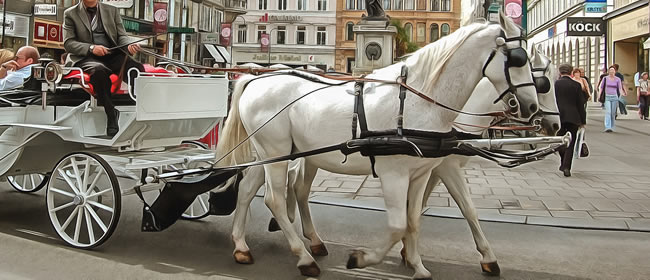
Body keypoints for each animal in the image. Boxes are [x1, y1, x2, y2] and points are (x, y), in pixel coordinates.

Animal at [218, 14, 536, 278]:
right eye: (519, 59)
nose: (531, 107)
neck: (419, 99)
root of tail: (255, 79)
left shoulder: (420, 174)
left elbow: (413, 220)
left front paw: (417, 265)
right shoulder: (395, 174)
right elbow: (397, 225)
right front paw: (362, 259)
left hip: (271, 155)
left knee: (248, 190)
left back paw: (241, 246)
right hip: (277, 155)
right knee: (274, 199)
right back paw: (305, 258)